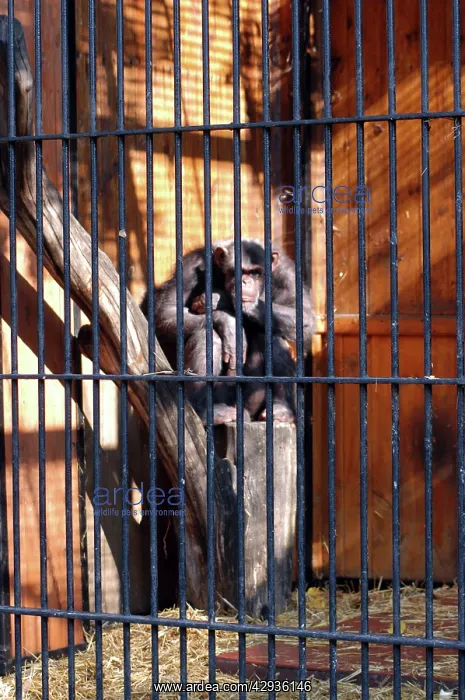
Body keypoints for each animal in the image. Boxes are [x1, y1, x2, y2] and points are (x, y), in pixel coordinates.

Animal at [141, 239, 315, 425]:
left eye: (255, 273)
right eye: (237, 272)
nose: (245, 282)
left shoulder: (286, 272)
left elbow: (304, 317)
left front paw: (222, 299)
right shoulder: (190, 267)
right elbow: (166, 312)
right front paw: (229, 322)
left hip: (251, 401)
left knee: (272, 337)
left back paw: (282, 409)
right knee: (207, 336)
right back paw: (206, 411)